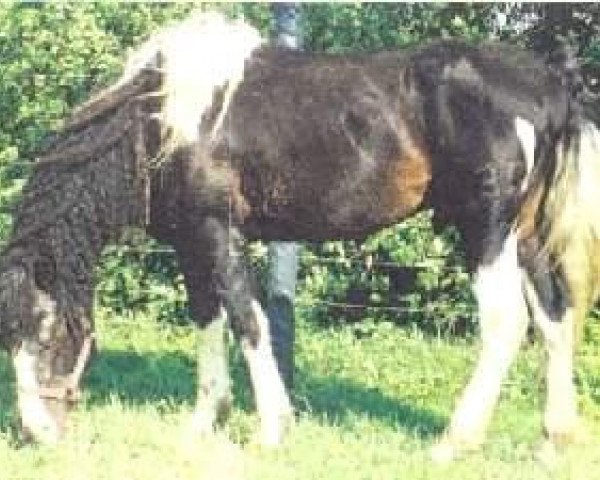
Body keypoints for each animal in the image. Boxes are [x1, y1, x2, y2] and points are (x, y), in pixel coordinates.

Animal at [1, 13, 600, 460]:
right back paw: (553, 439)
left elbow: (248, 320)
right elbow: (208, 320)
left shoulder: (218, 231)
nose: (36, 435)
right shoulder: (189, 240)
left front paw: (271, 429)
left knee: (506, 323)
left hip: (486, 230)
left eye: (43, 329)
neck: (160, 119)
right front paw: (203, 424)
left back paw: (455, 441)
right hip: (527, 238)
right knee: (554, 318)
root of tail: (551, 83)